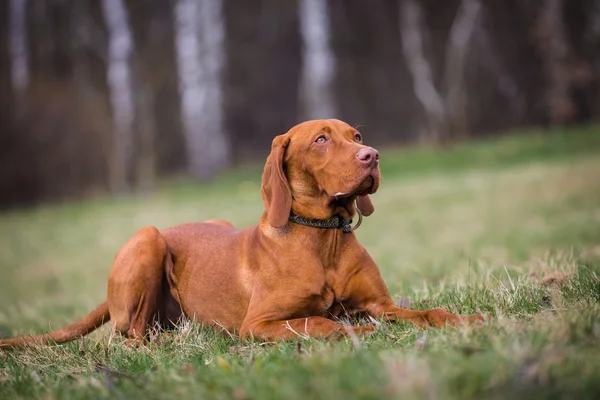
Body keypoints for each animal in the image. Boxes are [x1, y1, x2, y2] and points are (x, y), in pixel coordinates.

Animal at [0, 117, 482, 348]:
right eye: (321, 140)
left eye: (357, 135)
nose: (373, 155)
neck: (322, 235)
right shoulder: (260, 323)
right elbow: (319, 321)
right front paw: (354, 334)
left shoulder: (379, 305)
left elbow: (429, 312)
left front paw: (465, 320)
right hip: (148, 238)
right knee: (131, 336)